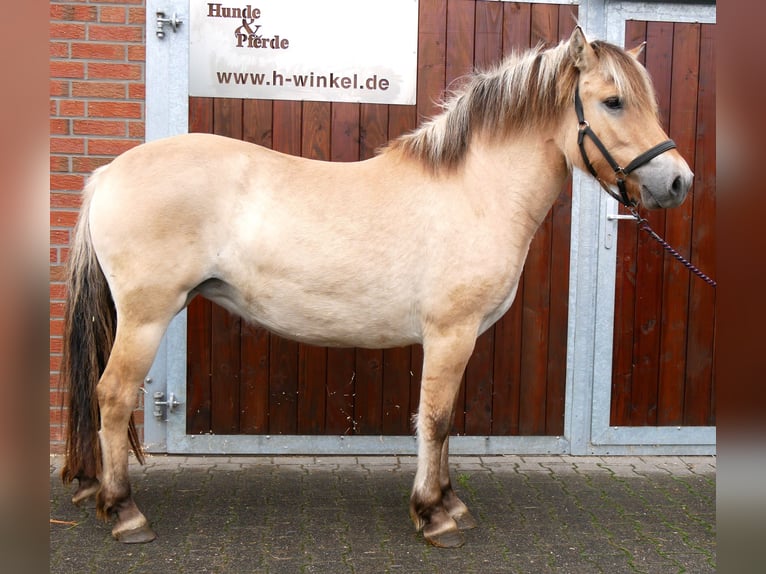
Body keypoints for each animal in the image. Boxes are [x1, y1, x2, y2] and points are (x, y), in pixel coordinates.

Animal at [60, 27, 692, 548]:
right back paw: (124, 513)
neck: (476, 191)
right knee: (112, 395)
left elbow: (446, 419)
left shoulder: (460, 338)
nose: (678, 181)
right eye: (613, 101)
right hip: (145, 318)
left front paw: (451, 504)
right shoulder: (450, 333)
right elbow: (434, 418)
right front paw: (433, 514)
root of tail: (109, 174)